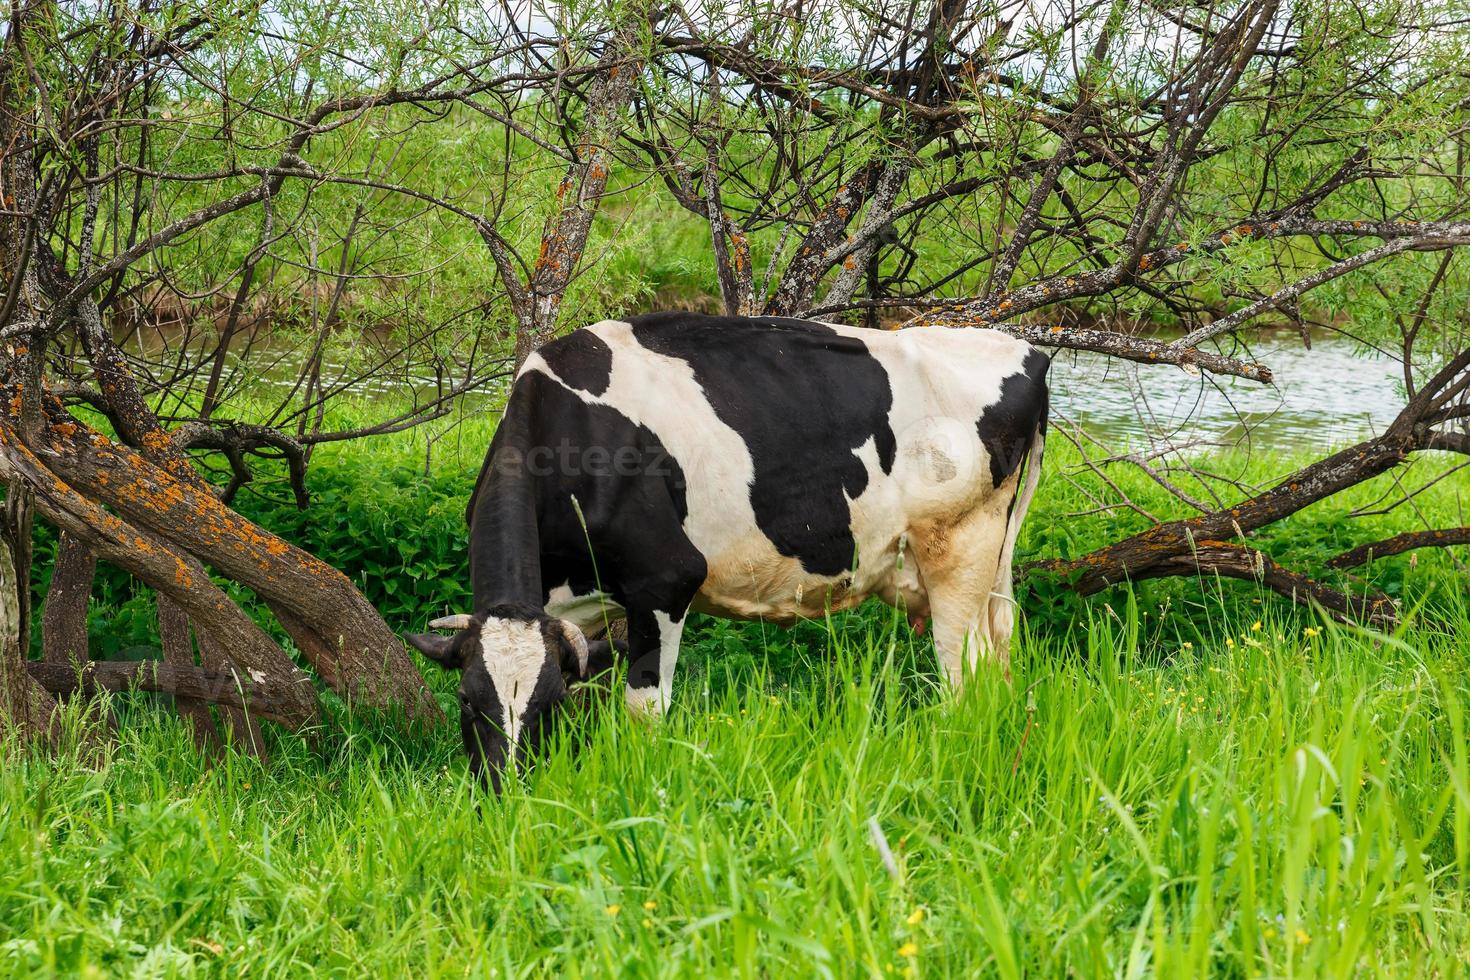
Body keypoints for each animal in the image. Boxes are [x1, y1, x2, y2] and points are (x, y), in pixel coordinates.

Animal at [405, 314, 1046, 787]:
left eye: (547, 703)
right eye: (465, 701)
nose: (504, 790)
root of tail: (1028, 350)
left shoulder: (665, 580)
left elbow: (644, 711)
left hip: (959, 549)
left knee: (967, 675)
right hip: (990, 567)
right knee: (1003, 658)